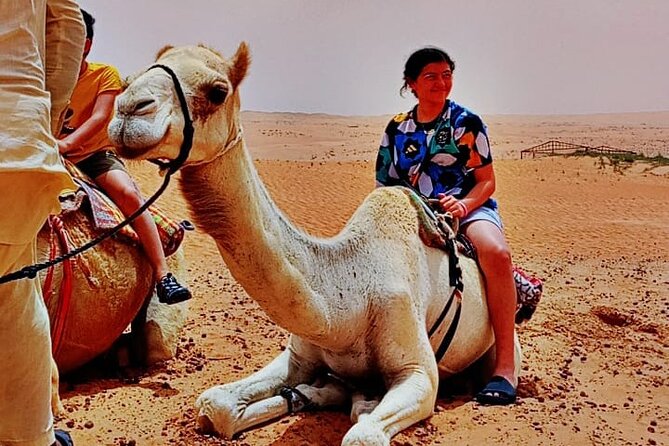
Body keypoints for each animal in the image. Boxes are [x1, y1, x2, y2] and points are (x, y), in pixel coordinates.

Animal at [109, 43, 523, 446]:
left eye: (218, 91)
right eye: (131, 78)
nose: (129, 110)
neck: (350, 298)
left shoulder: (419, 371)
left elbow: (364, 434)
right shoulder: (298, 353)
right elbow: (215, 404)